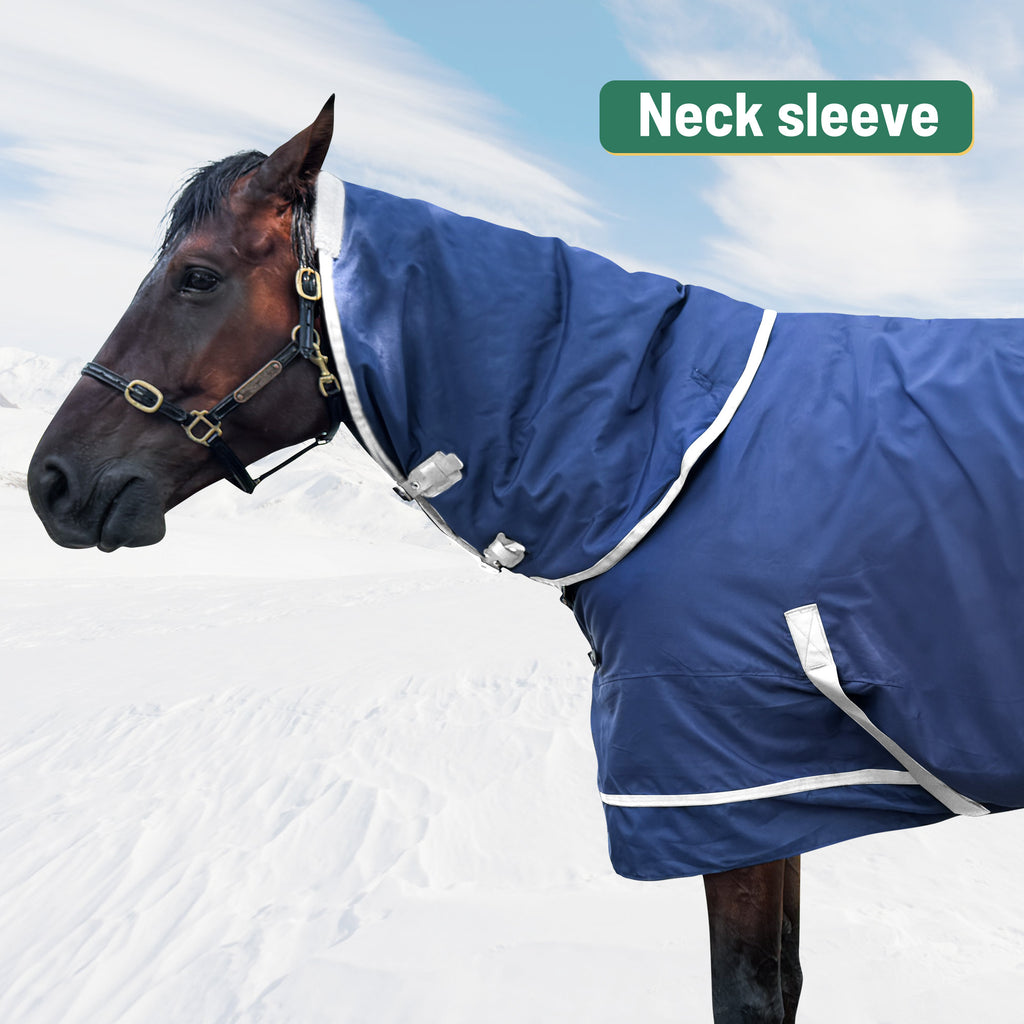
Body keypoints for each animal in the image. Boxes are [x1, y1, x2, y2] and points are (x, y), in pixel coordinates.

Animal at [27, 98, 1024, 1023]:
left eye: (196, 276)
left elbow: (747, 991)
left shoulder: (726, 784)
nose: (50, 481)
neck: (661, 455)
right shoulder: (776, 796)